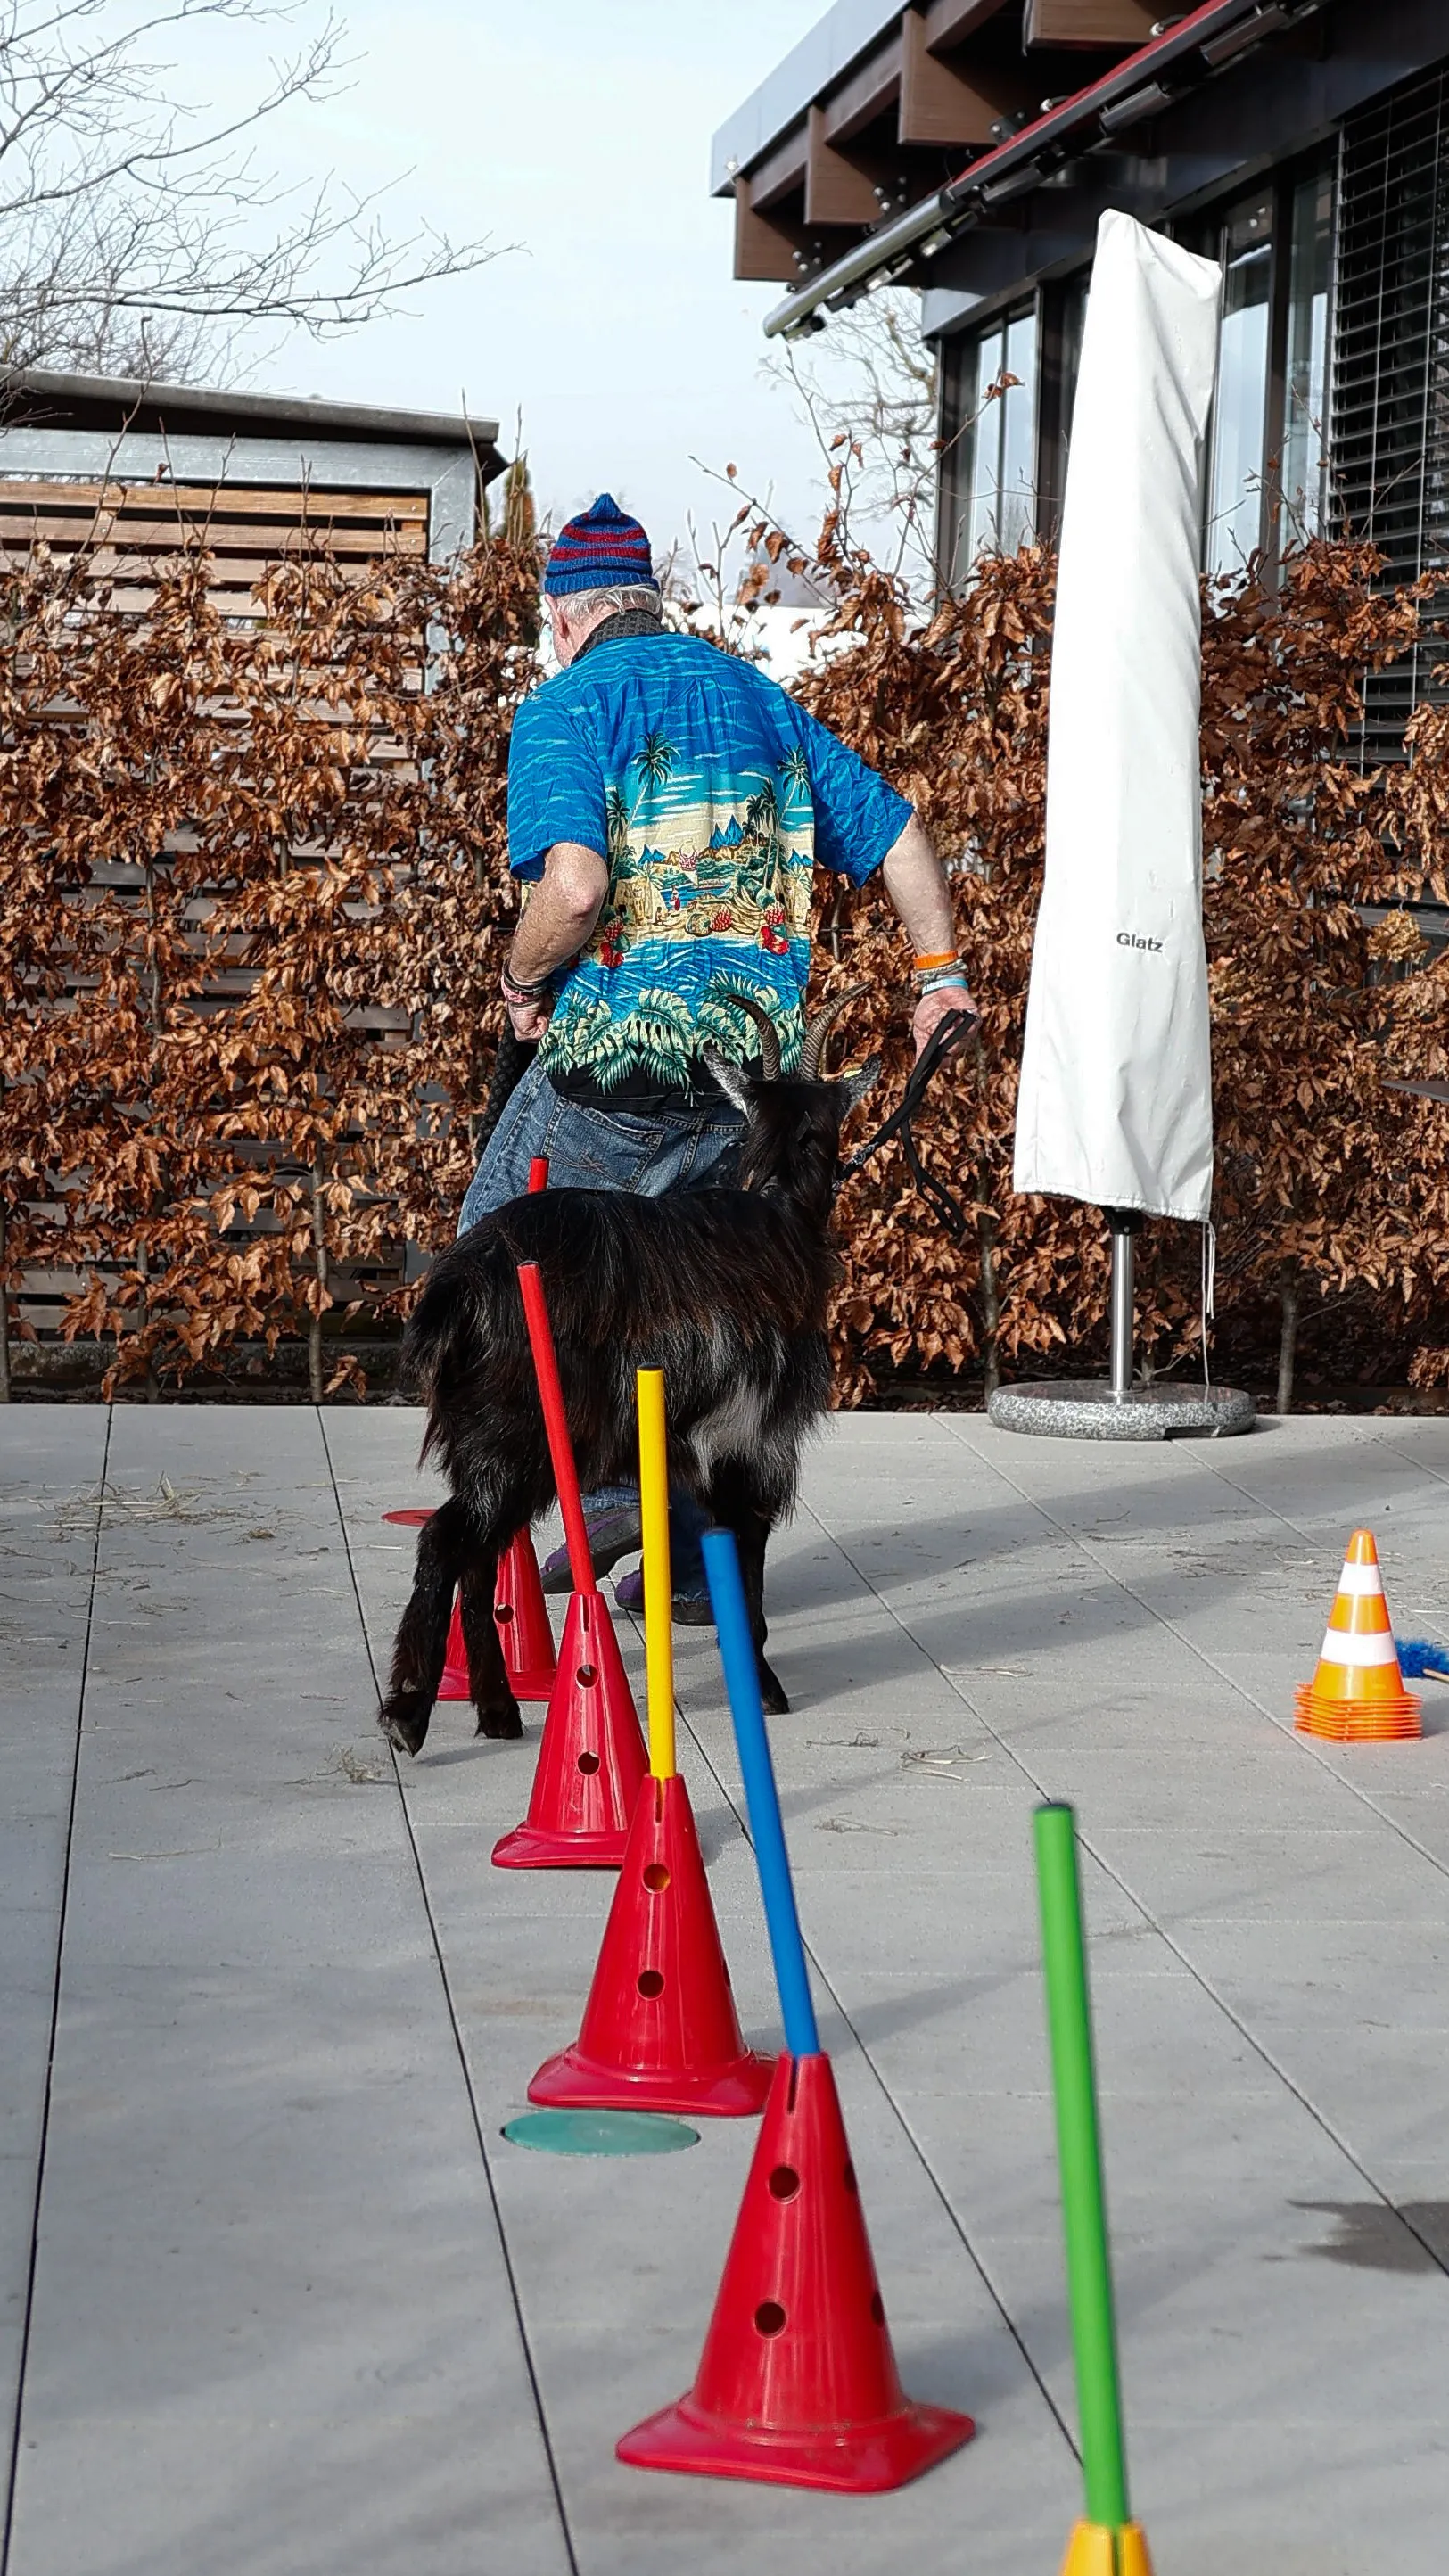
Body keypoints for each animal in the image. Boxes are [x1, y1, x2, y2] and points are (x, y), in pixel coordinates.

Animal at [379, 983, 877, 1751]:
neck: (775, 1212)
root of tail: (461, 1289)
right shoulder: (752, 1437)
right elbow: (747, 1552)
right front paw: (764, 1688)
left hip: (494, 1442)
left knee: (479, 1557)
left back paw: (497, 1709)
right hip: (515, 1436)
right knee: (445, 1540)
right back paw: (408, 1711)